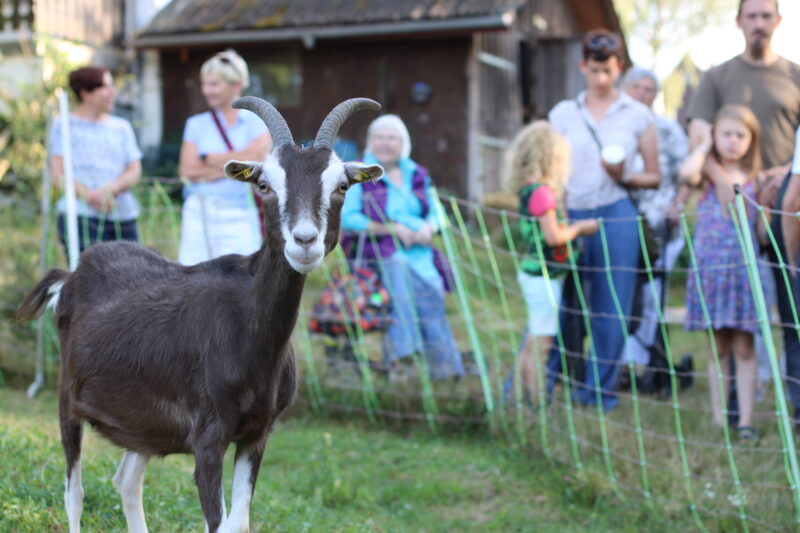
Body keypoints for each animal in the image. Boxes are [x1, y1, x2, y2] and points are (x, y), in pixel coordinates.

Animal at [15, 96, 384, 532]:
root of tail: (72, 273)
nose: (305, 241)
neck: (247, 330)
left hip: (143, 423)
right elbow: (220, 523)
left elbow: (239, 521)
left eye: (342, 186)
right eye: (264, 185)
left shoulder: (257, 434)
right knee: (75, 493)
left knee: (126, 481)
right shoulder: (208, 439)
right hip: (67, 399)